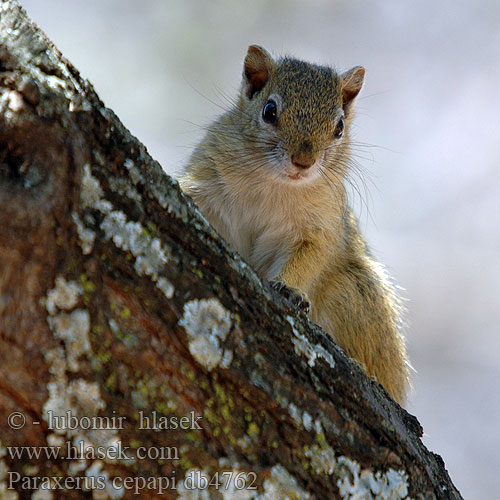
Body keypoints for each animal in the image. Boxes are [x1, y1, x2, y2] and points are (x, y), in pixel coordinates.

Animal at [180, 45, 410, 404]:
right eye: (269, 111)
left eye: (339, 126)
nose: (304, 161)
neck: (276, 184)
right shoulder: (208, 178)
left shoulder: (320, 227)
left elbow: (310, 257)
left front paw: (289, 288)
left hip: (353, 293)